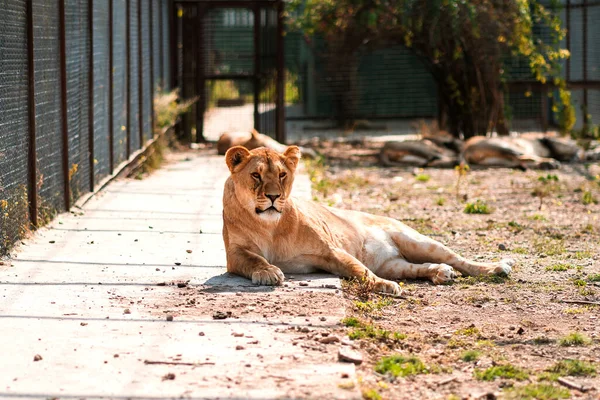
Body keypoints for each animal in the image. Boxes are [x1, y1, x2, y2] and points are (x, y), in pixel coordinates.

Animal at [223, 145, 512, 292]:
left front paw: (382, 285)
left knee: (459, 260)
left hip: (417, 240)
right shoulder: (235, 254)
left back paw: (497, 268)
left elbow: (357, 269)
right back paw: (439, 273)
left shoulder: (330, 250)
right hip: (393, 263)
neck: (270, 226)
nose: (273, 196)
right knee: (415, 268)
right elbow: (255, 260)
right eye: (256, 175)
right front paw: (268, 272)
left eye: (282, 175)